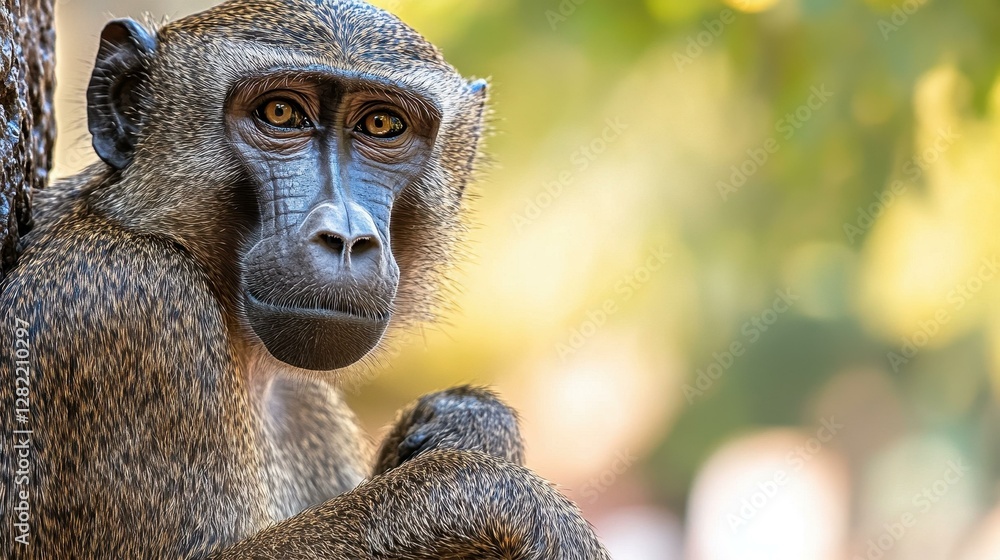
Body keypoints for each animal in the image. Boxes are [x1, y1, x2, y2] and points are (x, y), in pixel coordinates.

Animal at [0, 0, 613, 558]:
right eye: (280, 113)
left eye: (381, 125)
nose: (346, 237)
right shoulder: (130, 307)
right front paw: (492, 490)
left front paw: (467, 424)